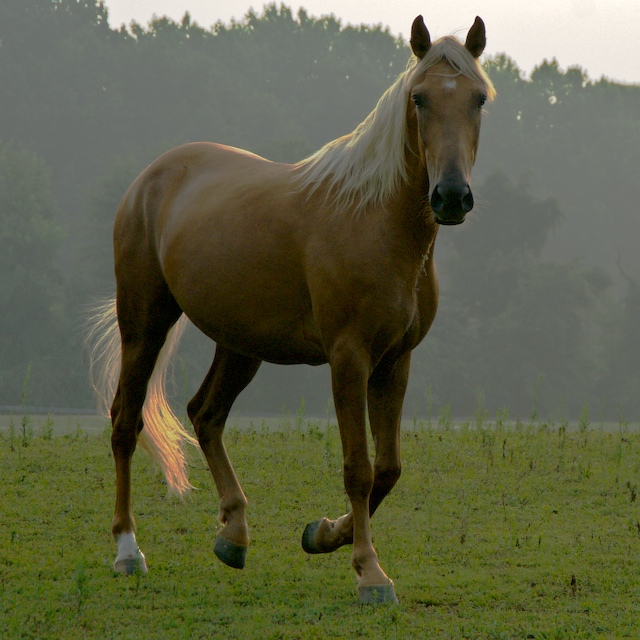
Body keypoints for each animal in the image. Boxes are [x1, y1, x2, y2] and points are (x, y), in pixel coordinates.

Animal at [87, 16, 496, 604]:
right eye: (418, 98)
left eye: (478, 99)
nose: (451, 197)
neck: (376, 221)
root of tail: (152, 176)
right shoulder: (349, 358)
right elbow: (359, 468)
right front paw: (370, 572)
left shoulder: (395, 361)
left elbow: (389, 468)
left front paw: (323, 534)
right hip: (143, 325)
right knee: (125, 422)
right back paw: (127, 550)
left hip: (240, 345)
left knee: (205, 414)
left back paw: (233, 533)